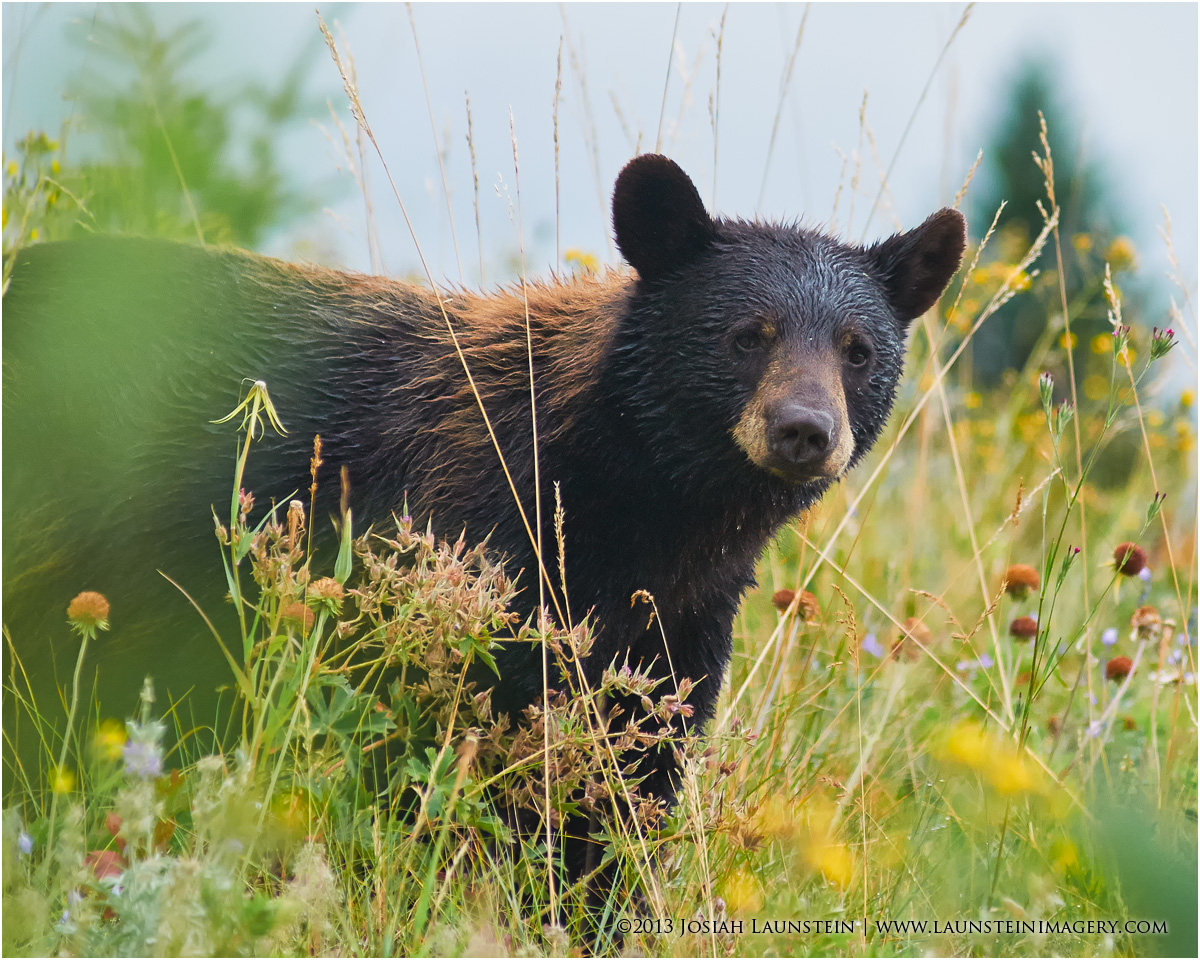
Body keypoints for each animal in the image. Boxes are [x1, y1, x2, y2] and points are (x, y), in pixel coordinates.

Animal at [3, 153, 964, 908]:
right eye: (745, 335)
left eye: (858, 349)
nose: (805, 429)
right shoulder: (455, 549)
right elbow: (421, 751)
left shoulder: (679, 627)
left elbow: (633, 784)